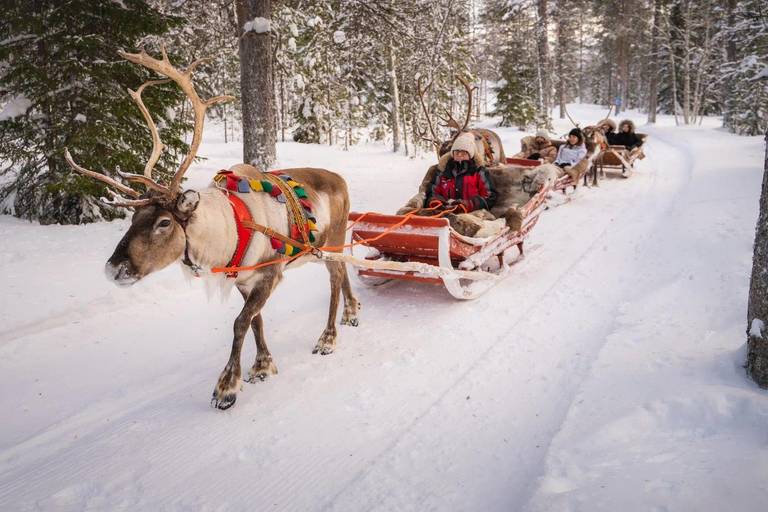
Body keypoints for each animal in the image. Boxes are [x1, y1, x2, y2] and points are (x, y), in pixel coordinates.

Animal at [64, 43, 360, 411]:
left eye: (164, 222)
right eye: (133, 219)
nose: (113, 268)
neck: (228, 230)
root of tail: (341, 179)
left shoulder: (269, 274)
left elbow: (239, 323)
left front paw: (227, 386)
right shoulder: (243, 280)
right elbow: (256, 321)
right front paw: (262, 366)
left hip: (331, 241)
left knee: (335, 280)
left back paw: (328, 338)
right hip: (328, 247)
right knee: (344, 271)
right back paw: (352, 312)